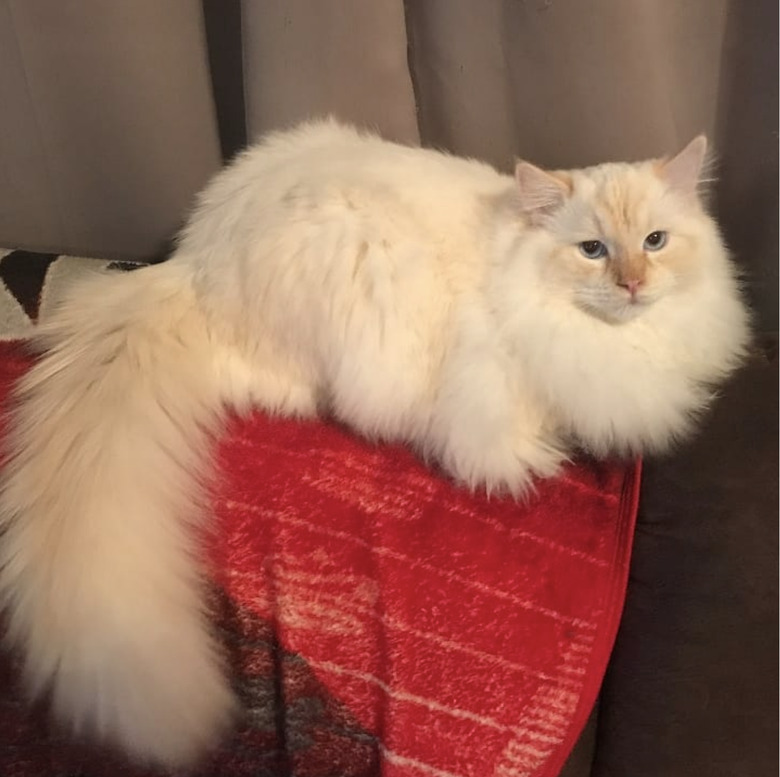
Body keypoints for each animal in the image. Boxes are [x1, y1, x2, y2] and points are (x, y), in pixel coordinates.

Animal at [0, 119, 748, 764]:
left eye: (655, 241)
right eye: (593, 250)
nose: (633, 285)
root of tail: (192, 264)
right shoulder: (493, 385)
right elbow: (515, 435)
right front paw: (546, 452)